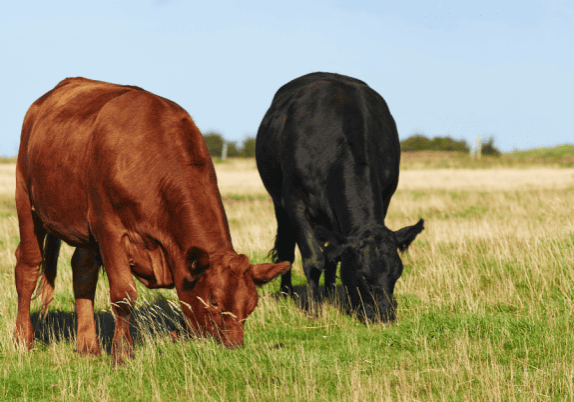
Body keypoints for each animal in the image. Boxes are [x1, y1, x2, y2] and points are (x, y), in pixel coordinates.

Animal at [13, 76, 290, 364]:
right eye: (213, 300)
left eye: (251, 305)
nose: (233, 347)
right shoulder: (108, 228)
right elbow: (123, 294)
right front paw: (122, 353)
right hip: (26, 198)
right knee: (28, 266)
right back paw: (23, 339)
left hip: (84, 230)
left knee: (83, 272)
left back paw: (88, 346)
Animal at [256, 72, 424, 322]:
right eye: (362, 275)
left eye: (397, 274)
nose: (385, 316)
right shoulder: (295, 202)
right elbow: (313, 258)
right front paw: (314, 311)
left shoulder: (385, 197)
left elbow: (331, 256)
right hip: (279, 202)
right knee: (287, 249)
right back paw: (287, 292)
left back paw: (328, 292)